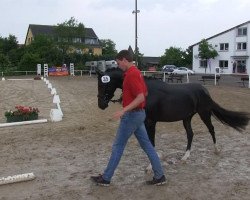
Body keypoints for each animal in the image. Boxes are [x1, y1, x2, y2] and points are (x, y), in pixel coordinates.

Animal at [96, 68, 249, 160]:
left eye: (104, 84)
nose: (101, 105)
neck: (146, 91)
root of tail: (204, 90)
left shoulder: (150, 122)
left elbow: (151, 141)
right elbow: (147, 141)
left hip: (204, 113)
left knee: (211, 129)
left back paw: (216, 150)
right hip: (187, 118)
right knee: (190, 134)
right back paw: (185, 156)